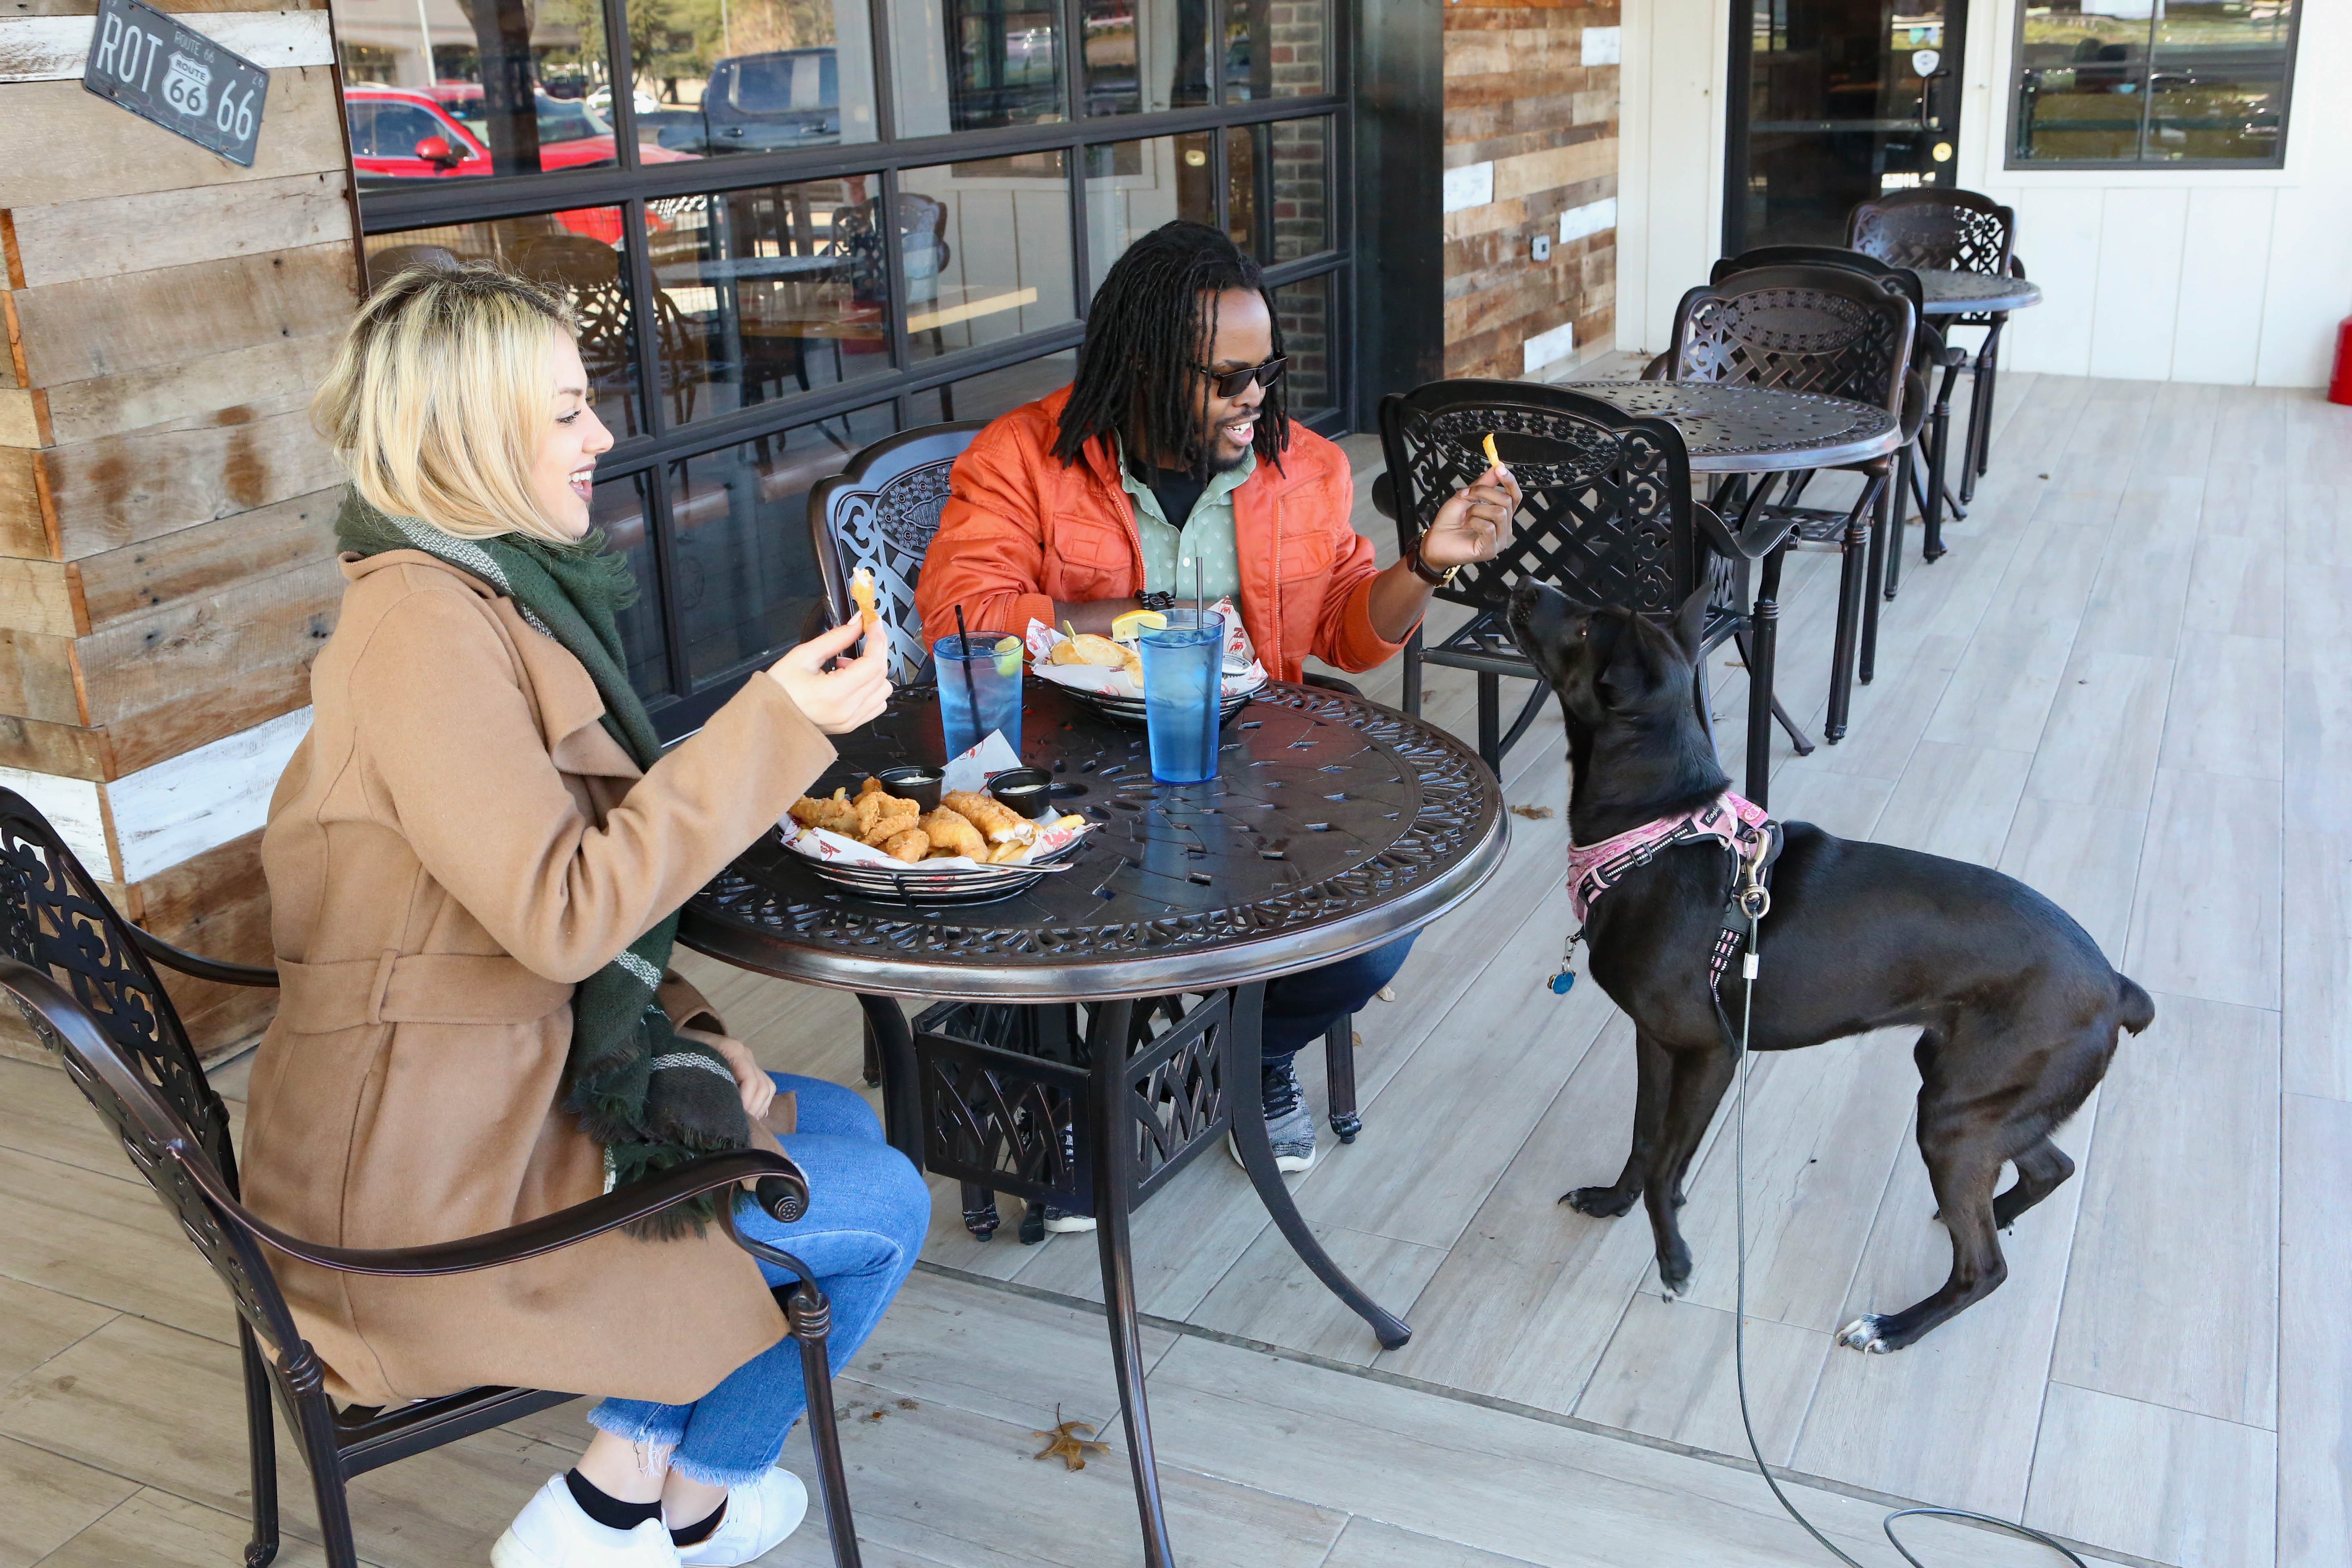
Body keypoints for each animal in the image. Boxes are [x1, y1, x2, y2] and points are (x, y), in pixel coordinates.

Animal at [1505, 583, 2154, 1354]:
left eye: (1583, 624)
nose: (1522, 588)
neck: (1656, 833)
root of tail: (2114, 986)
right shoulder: (1656, 1042)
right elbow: (1644, 1138)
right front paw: (1614, 1201)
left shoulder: (1711, 1051)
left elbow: (1666, 1163)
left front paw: (1673, 1260)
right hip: (1985, 1097)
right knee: (2049, 1167)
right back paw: (1995, 1211)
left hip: (1955, 1116)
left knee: (1986, 1268)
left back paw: (1898, 1325)